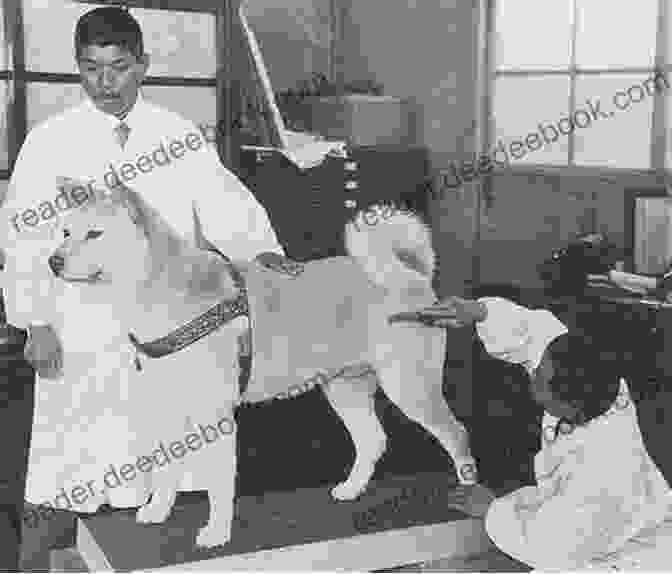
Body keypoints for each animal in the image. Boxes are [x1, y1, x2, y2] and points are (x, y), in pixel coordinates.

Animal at [47, 183, 476, 548]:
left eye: (95, 234)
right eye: (65, 231)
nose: (52, 261)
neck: (155, 291)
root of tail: (411, 275)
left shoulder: (214, 416)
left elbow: (219, 481)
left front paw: (217, 533)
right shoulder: (167, 408)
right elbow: (167, 472)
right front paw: (157, 511)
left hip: (410, 388)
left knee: (457, 433)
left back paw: (469, 492)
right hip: (345, 389)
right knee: (373, 440)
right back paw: (351, 490)